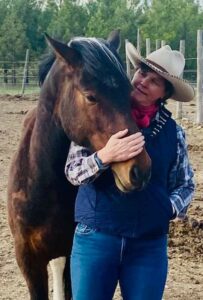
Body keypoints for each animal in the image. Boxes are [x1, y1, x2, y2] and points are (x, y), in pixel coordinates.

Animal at [7, 31, 151, 300]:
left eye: (129, 94)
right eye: (90, 96)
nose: (140, 170)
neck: (43, 184)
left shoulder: (74, 254)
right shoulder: (28, 261)